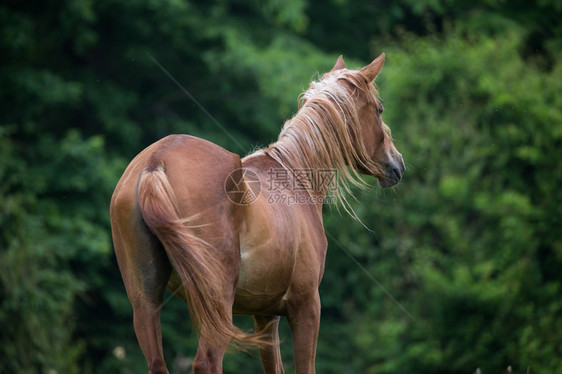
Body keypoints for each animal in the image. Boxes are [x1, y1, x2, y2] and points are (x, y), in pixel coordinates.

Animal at [110, 53, 402, 374]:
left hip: (147, 301)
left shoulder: (265, 314)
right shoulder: (307, 306)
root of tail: (156, 161)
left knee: (158, 363)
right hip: (218, 304)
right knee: (207, 361)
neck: (296, 177)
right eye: (379, 109)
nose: (397, 163)